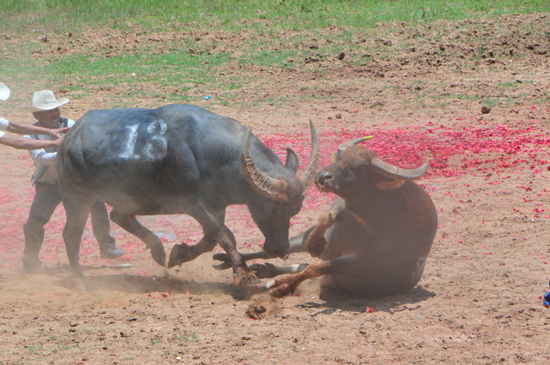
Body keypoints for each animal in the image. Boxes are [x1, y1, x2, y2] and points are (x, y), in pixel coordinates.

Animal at [58, 104, 322, 286]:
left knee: (119, 216)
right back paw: (79, 280)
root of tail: (69, 138)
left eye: (295, 210)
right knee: (71, 234)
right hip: (77, 196)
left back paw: (158, 250)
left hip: (128, 197)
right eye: (273, 208)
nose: (280, 249)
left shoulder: (217, 207)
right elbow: (224, 236)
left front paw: (179, 254)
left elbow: (211, 239)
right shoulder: (193, 204)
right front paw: (242, 273)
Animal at [216, 136, 440, 296]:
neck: (370, 221)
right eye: (340, 159)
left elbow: (316, 267)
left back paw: (265, 271)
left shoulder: (364, 261)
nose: (322, 176)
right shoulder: (343, 207)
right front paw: (315, 244)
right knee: (278, 250)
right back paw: (230, 259)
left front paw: (282, 286)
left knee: (300, 264)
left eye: (361, 168)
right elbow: (327, 217)